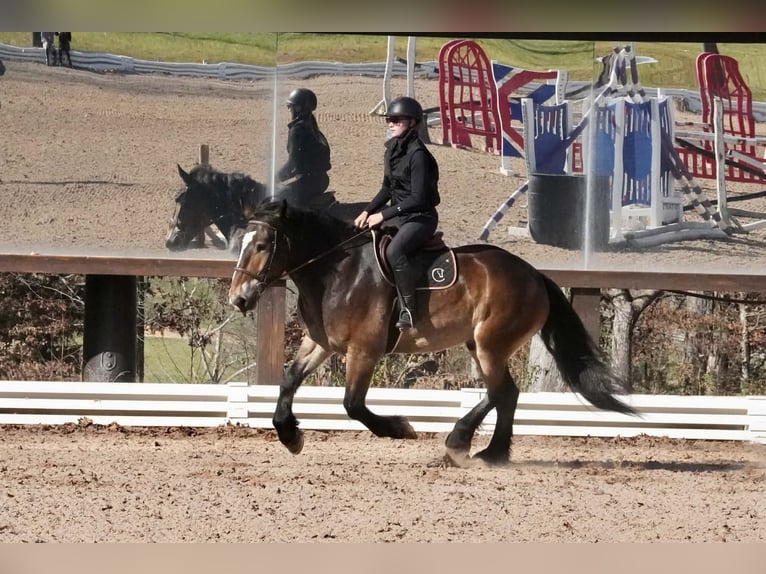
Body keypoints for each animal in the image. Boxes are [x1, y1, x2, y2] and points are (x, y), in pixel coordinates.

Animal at [228, 201, 636, 467]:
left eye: (262, 245)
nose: (238, 299)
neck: (336, 271)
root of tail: (534, 275)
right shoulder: (321, 343)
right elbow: (289, 380)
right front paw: (290, 435)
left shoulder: (363, 350)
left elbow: (353, 404)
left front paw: (401, 428)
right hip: (479, 344)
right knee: (504, 394)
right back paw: (485, 451)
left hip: (489, 345)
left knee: (501, 392)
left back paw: (466, 446)